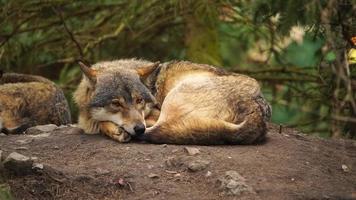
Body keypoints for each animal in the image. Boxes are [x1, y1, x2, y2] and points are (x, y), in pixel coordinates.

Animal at [74, 58, 270, 145]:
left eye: (139, 100)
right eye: (116, 104)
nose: (139, 128)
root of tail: (256, 107)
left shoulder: (155, 113)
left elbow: (99, 122)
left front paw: (112, 129)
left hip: (173, 98)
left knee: (159, 128)